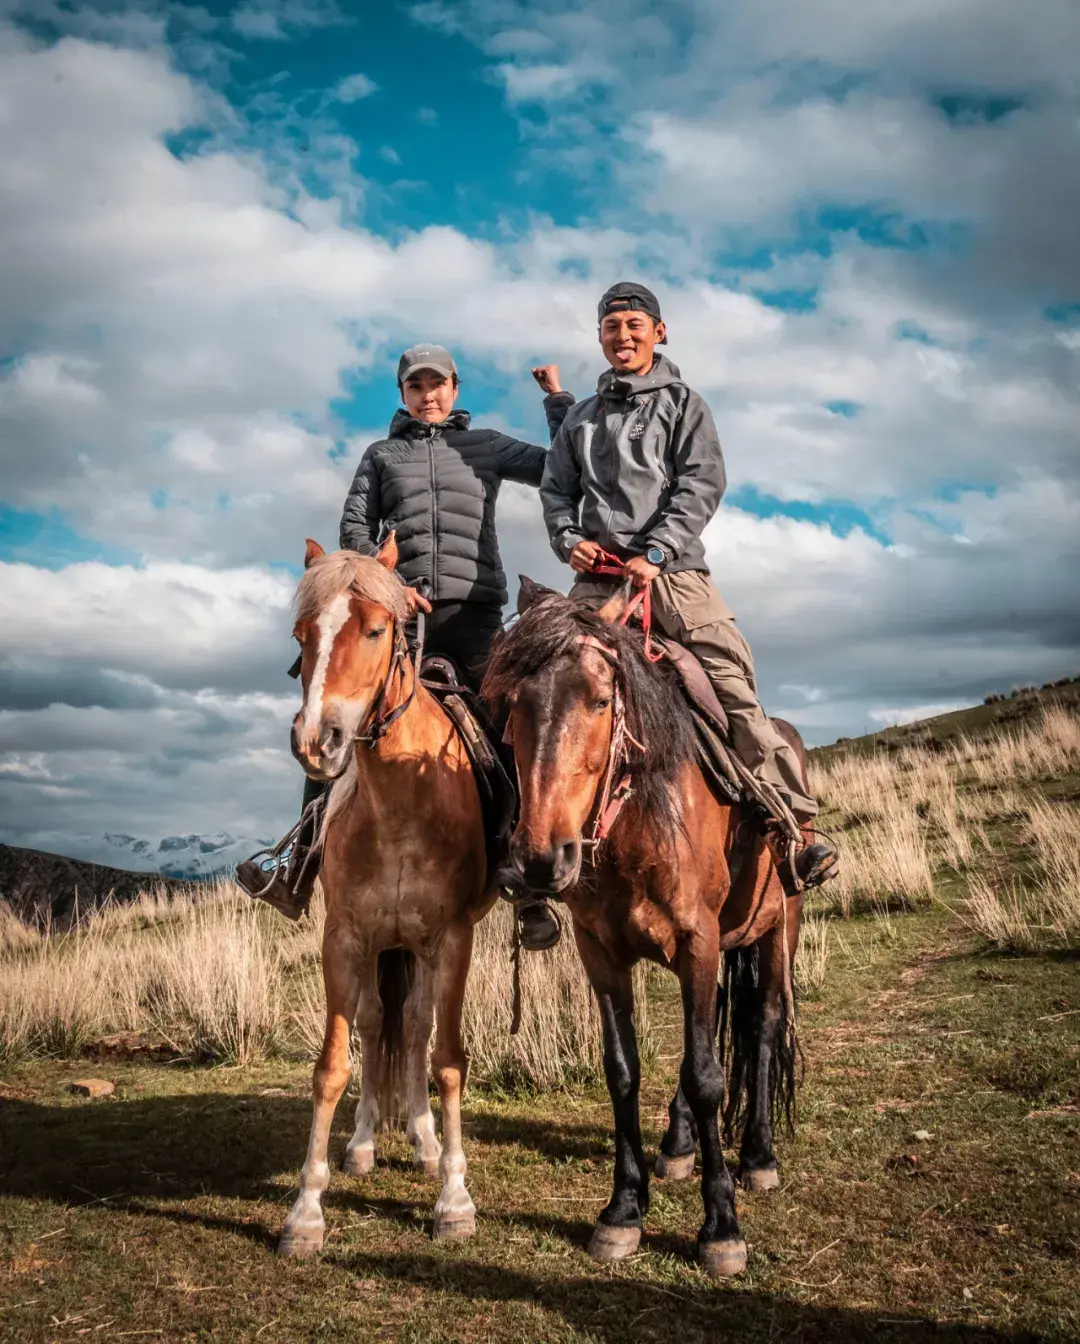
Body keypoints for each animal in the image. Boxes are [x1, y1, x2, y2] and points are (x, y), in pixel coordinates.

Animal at [280, 537, 497, 1257]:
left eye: (376, 630)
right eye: (302, 636)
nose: (316, 741)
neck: (402, 804)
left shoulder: (452, 940)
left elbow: (449, 1060)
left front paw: (454, 1200)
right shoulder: (344, 939)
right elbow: (331, 1067)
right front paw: (305, 1212)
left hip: (420, 949)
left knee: (420, 1027)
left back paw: (426, 1144)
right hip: (383, 946)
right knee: (380, 1026)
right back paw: (366, 1143)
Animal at [480, 583, 800, 1274]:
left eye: (601, 700)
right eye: (514, 706)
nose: (540, 859)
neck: (639, 819)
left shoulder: (699, 944)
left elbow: (706, 1076)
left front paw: (721, 1226)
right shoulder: (602, 953)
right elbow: (624, 1069)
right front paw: (623, 1210)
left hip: (777, 934)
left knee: (762, 1026)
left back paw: (759, 1155)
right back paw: (678, 1148)